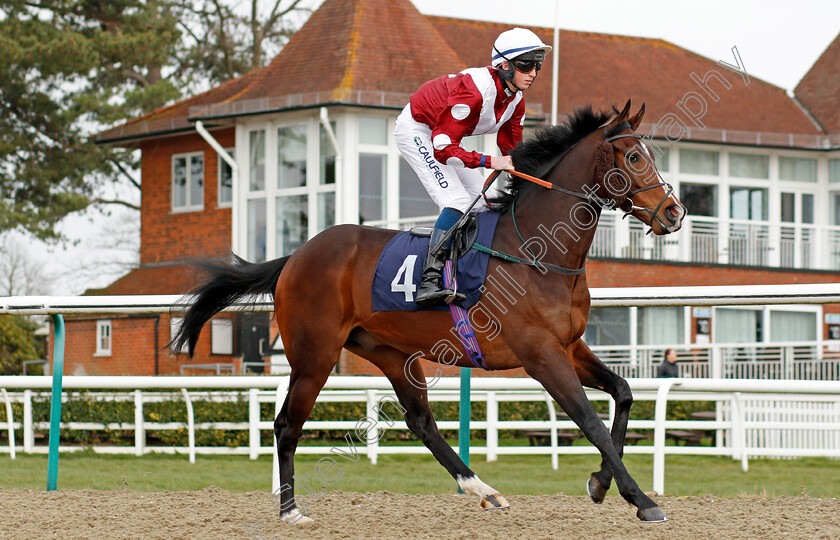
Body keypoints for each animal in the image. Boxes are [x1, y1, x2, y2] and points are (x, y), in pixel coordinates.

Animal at [172, 100, 688, 524]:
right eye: (635, 157)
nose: (674, 212)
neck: (537, 250)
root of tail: (296, 256)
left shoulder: (570, 345)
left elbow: (622, 394)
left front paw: (600, 484)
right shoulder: (541, 355)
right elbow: (590, 421)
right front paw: (642, 500)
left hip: (391, 353)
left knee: (420, 421)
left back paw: (484, 490)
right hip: (315, 355)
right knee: (286, 425)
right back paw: (290, 510)